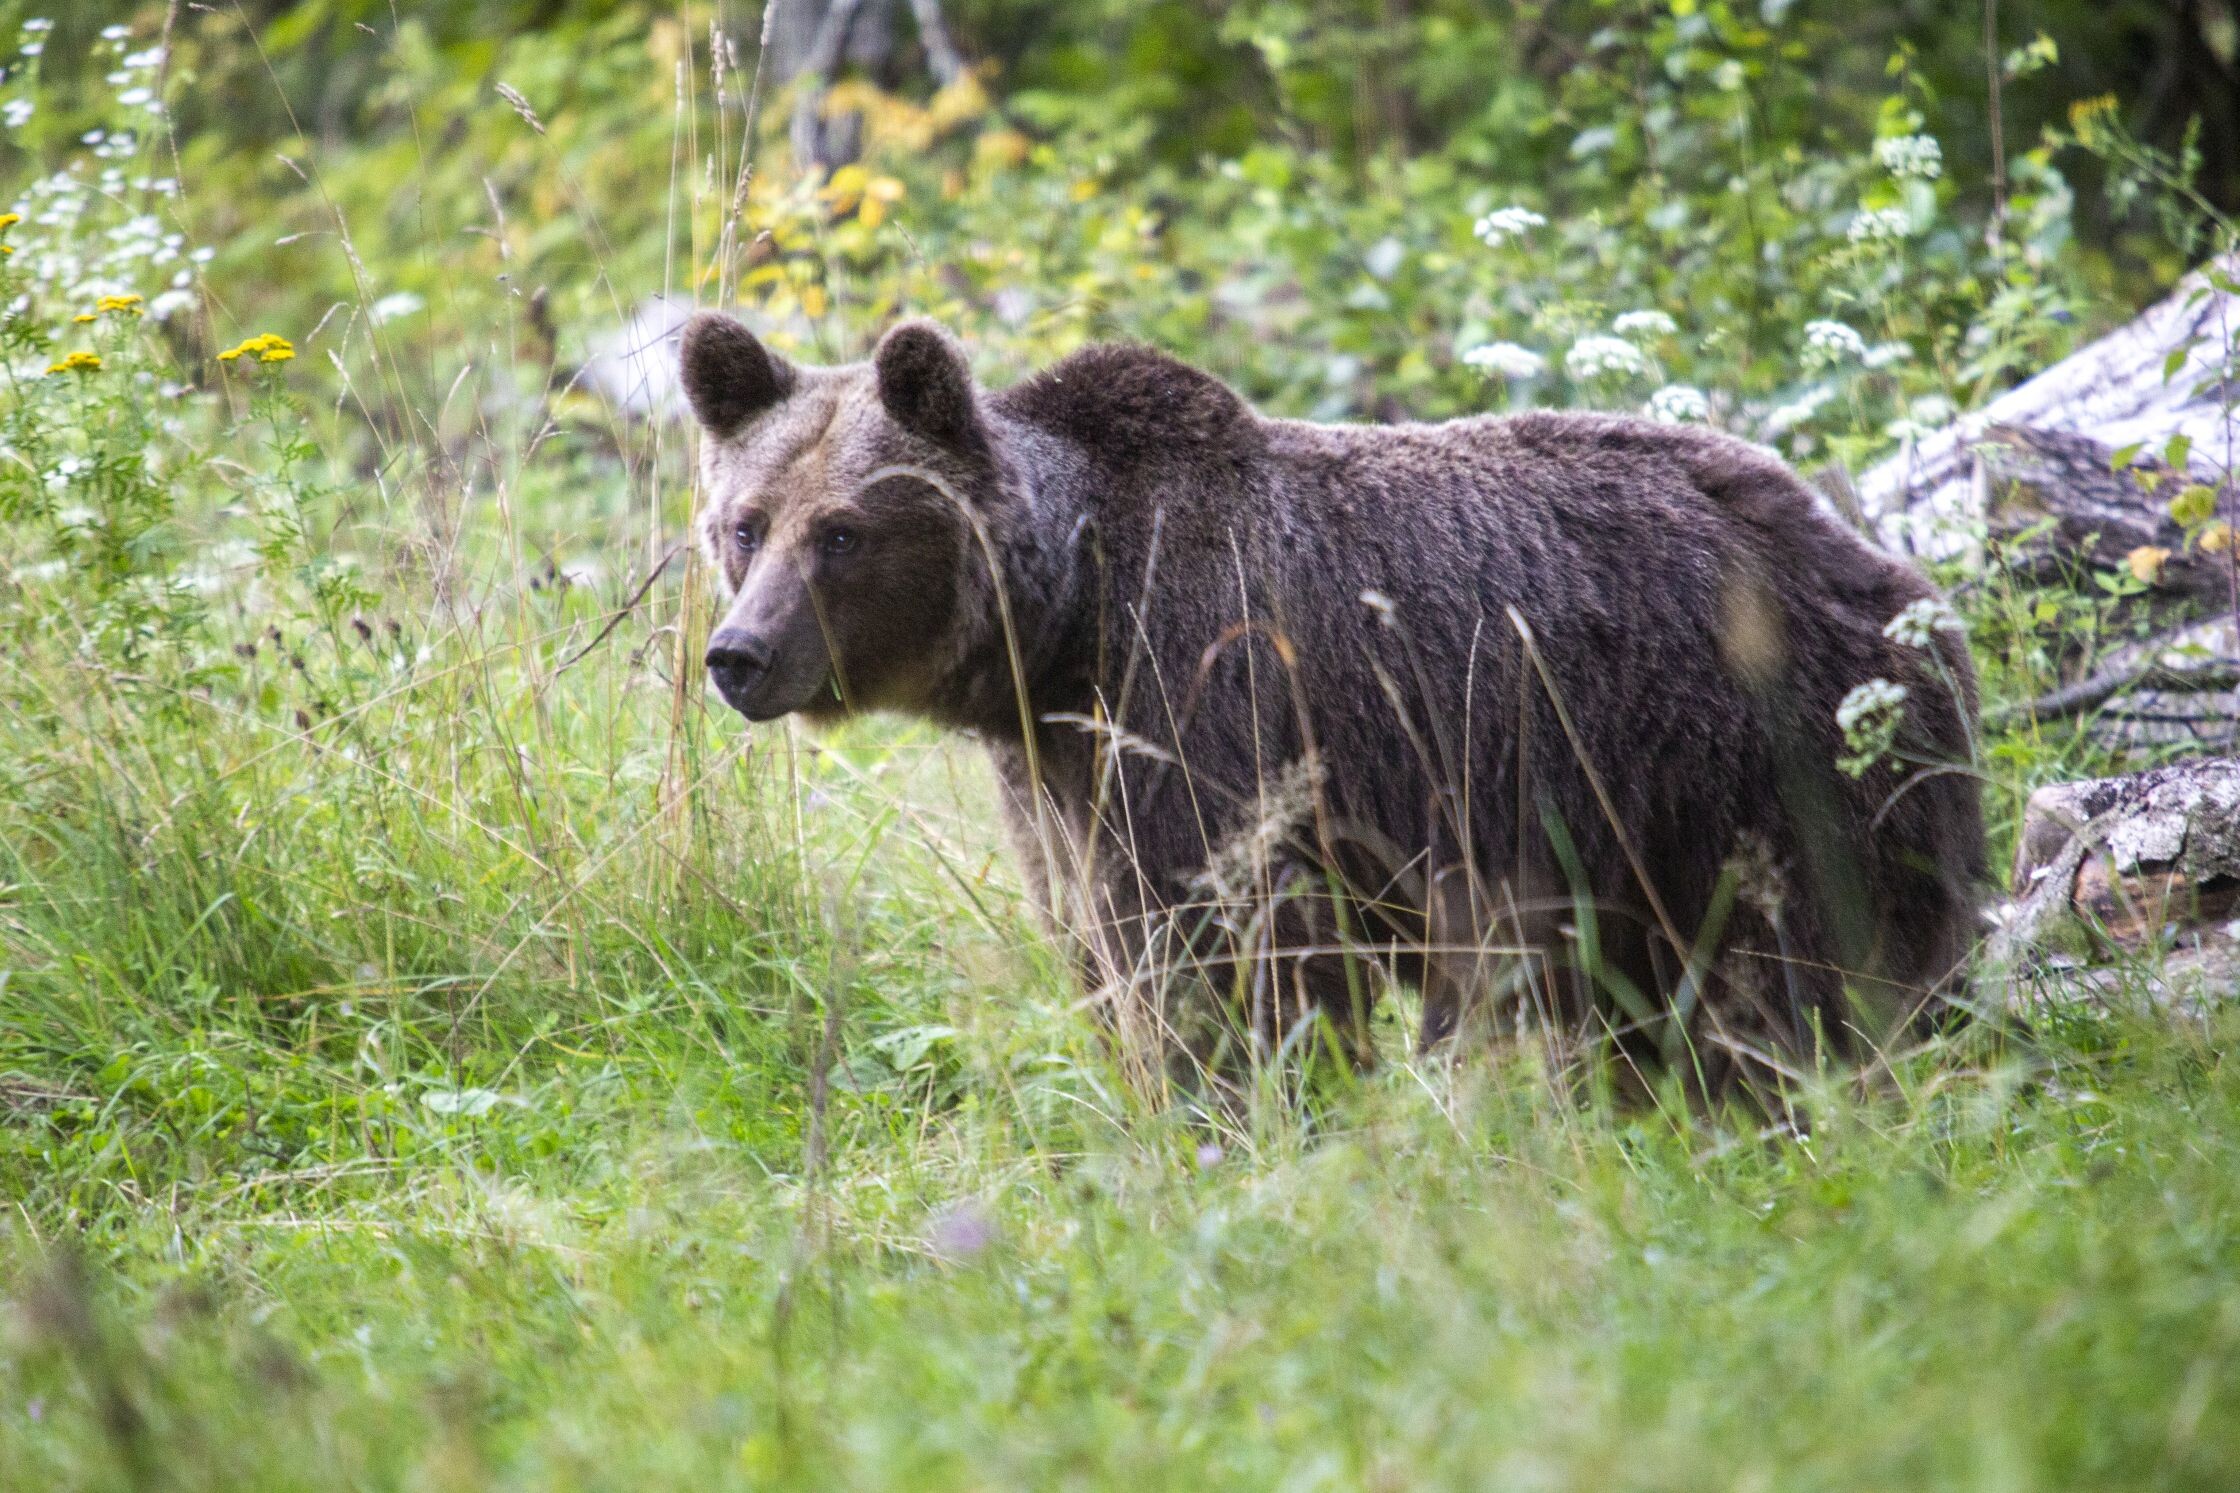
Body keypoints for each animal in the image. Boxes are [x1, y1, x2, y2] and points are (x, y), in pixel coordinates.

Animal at [679, 312, 1985, 1091]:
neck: (1057, 627)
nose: (739, 654)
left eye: (840, 532)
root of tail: (1893, 577)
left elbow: (1227, 966)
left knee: (1803, 978)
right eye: (745, 522)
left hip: (1757, 767)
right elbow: (1105, 952)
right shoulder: (1060, 778)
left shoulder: (1207, 708)